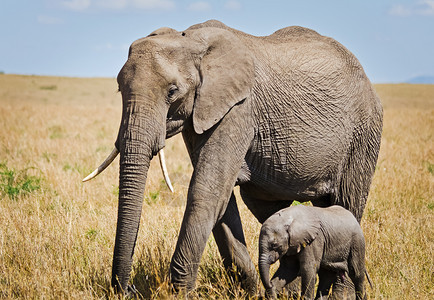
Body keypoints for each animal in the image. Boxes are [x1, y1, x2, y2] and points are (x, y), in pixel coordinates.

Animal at [84, 20, 384, 296]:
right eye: (120, 89)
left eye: (172, 91)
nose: (129, 290)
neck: (190, 40)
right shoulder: (202, 113)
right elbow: (222, 199)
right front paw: (248, 289)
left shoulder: (239, 108)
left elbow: (206, 191)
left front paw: (179, 293)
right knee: (273, 211)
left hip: (363, 133)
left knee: (346, 203)